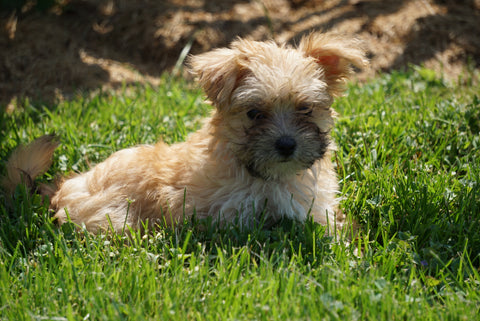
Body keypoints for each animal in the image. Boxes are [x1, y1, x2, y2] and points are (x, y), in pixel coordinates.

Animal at [1, 32, 368, 232]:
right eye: (254, 113)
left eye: (305, 109)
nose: (286, 144)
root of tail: (61, 189)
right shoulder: (230, 213)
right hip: (112, 215)